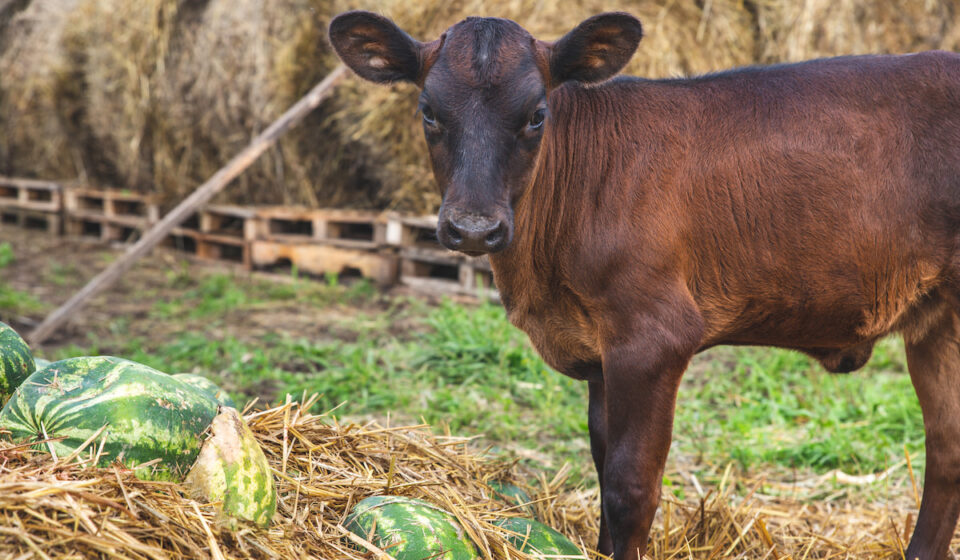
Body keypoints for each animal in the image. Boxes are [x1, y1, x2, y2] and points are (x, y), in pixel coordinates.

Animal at [329, 10, 960, 560]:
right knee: (948, 451)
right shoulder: (600, 354)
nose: (474, 228)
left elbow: (630, 488)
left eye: (536, 114)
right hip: (939, 326)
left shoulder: (653, 337)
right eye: (428, 111)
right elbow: (603, 465)